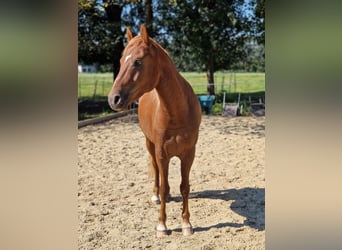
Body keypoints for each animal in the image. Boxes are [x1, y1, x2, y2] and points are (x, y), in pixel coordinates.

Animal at [108, 24, 202, 236]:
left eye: (137, 61)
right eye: (121, 61)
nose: (113, 99)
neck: (178, 112)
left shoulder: (188, 154)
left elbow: (184, 187)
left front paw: (186, 224)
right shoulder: (161, 153)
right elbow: (164, 187)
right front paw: (162, 225)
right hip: (150, 145)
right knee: (157, 173)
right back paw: (155, 196)